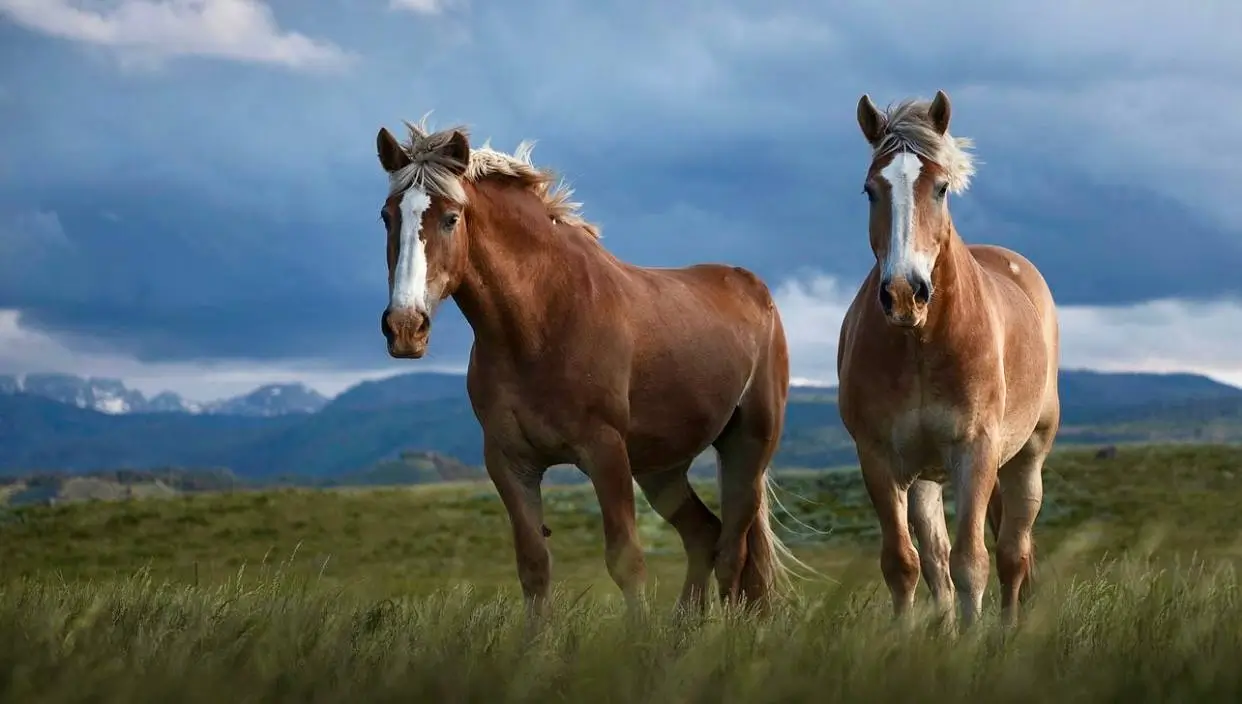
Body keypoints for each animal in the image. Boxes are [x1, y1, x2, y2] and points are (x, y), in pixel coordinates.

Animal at [370, 117, 804, 615]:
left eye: (450, 217)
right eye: (387, 216)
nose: (405, 327)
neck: (540, 325)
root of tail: (756, 290)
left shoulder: (605, 453)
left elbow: (627, 562)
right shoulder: (510, 462)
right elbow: (534, 567)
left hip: (746, 450)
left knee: (733, 552)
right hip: (661, 469)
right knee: (704, 536)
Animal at [834, 92, 1058, 628]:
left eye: (940, 188)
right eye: (870, 190)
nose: (903, 293)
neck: (921, 343)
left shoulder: (974, 452)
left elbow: (972, 562)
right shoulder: (878, 458)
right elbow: (904, 564)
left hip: (1027, 459)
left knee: (1012, 554)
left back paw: (1007, 629)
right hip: (924, 478)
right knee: (935, 561)